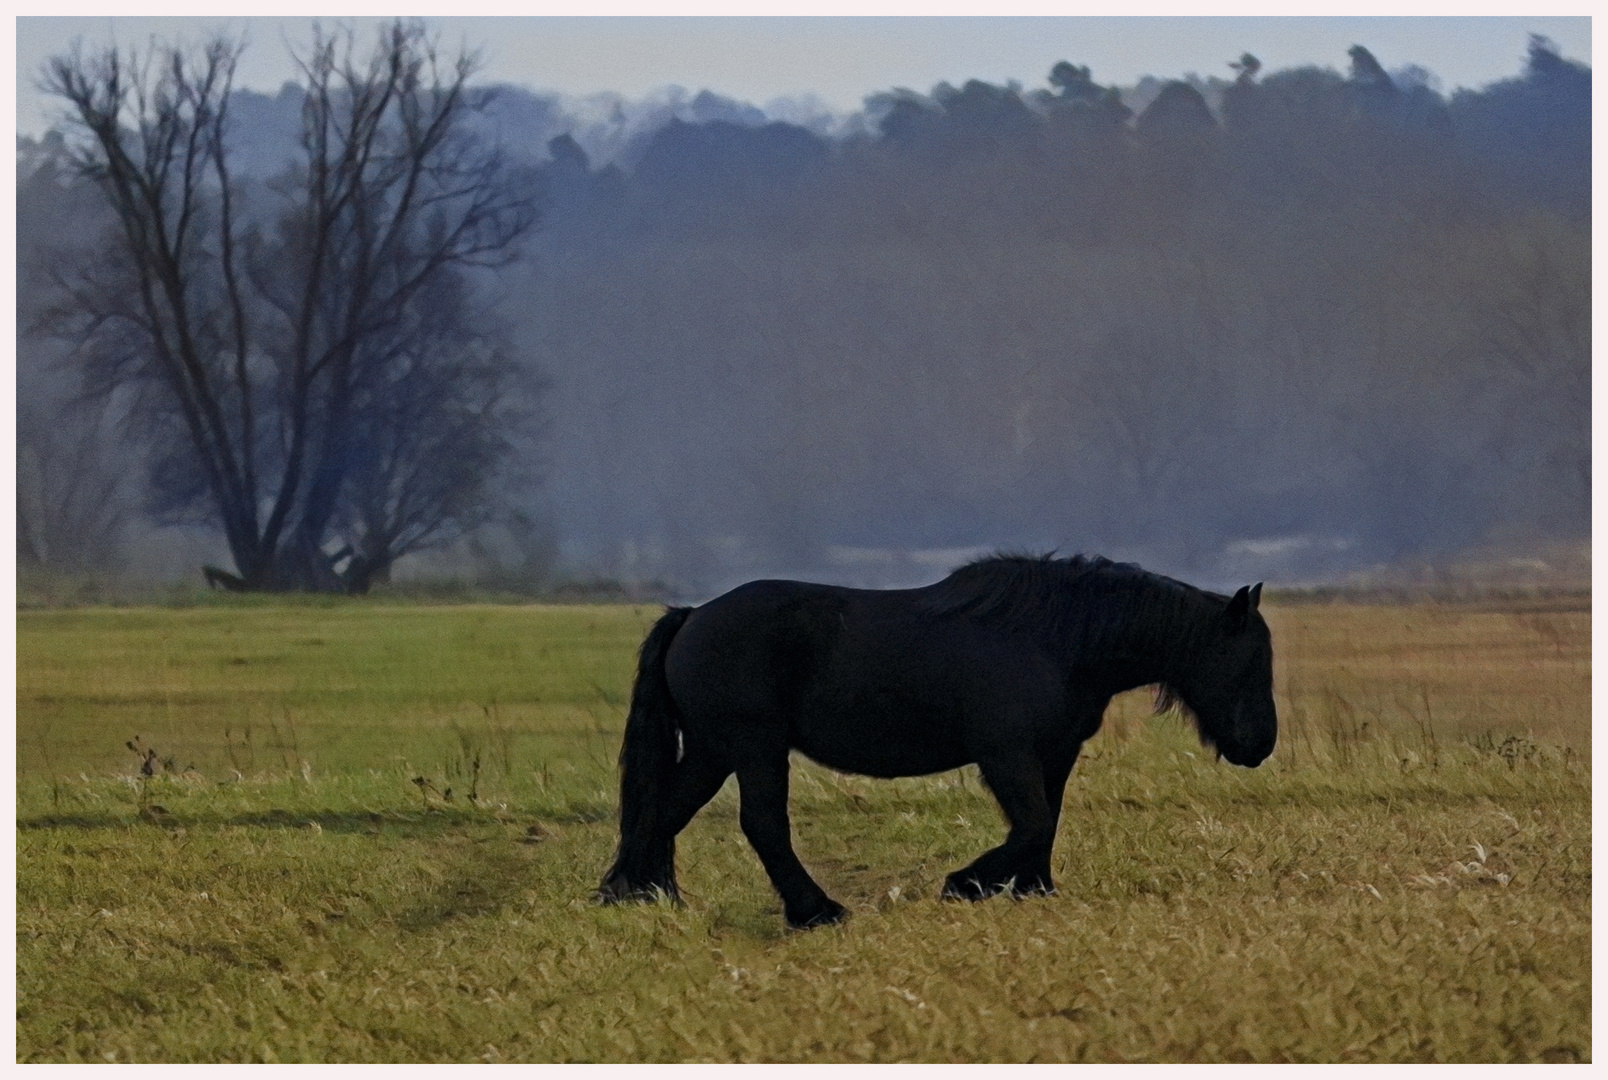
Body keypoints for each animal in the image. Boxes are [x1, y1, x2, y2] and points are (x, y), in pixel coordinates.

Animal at [598, 556, 1273, 925]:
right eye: (1249, 659)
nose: (1261, 744)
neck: (1057, 639)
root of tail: (692, 615)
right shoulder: (1006, 755)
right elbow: (1030, 824)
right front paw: (965, 885)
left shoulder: (1054, 754)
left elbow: (1046, 822)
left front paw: (1034, 889)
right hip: (753, 748)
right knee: (761, 823)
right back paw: (816, 911)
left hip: (713, 751)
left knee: (662, 812)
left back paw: (635, 893)